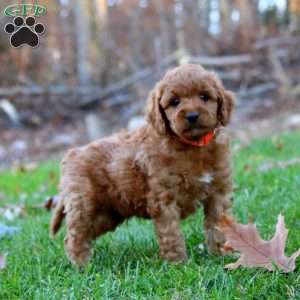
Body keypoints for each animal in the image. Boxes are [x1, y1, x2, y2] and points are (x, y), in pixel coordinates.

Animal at [51, 63, 234, 264]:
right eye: (175, 102)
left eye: (204, 97)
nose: (192, 116)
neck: (194, 145)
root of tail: (71, 155)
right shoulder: (163, 199)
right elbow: (171, 233)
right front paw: (178, 263)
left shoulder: (218, 192)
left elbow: (218, 225)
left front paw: (222, 256)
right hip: (83, 204)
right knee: (75, 236)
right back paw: (82, 265)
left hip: (108, 214)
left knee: (86, 233)